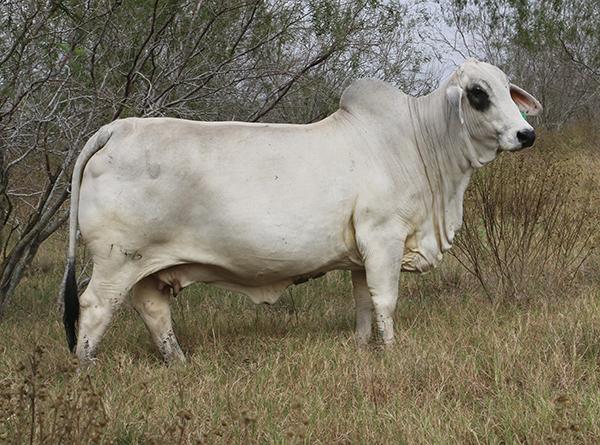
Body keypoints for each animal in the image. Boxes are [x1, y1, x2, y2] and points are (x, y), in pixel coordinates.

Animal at [62, 59, 544, 362]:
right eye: (478, 94)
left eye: (507, 89)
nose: (526, 134)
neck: (418, 141)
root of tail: (117, 128)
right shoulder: (383, 238)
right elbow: (385, 300)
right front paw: (391, 352)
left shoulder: (360, 256)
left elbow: (364, 303)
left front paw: (362, 347)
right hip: (117, 260)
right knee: (94, 306)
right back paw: (87, 367)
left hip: (148, 265)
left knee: (152, 309)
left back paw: (178, 360)